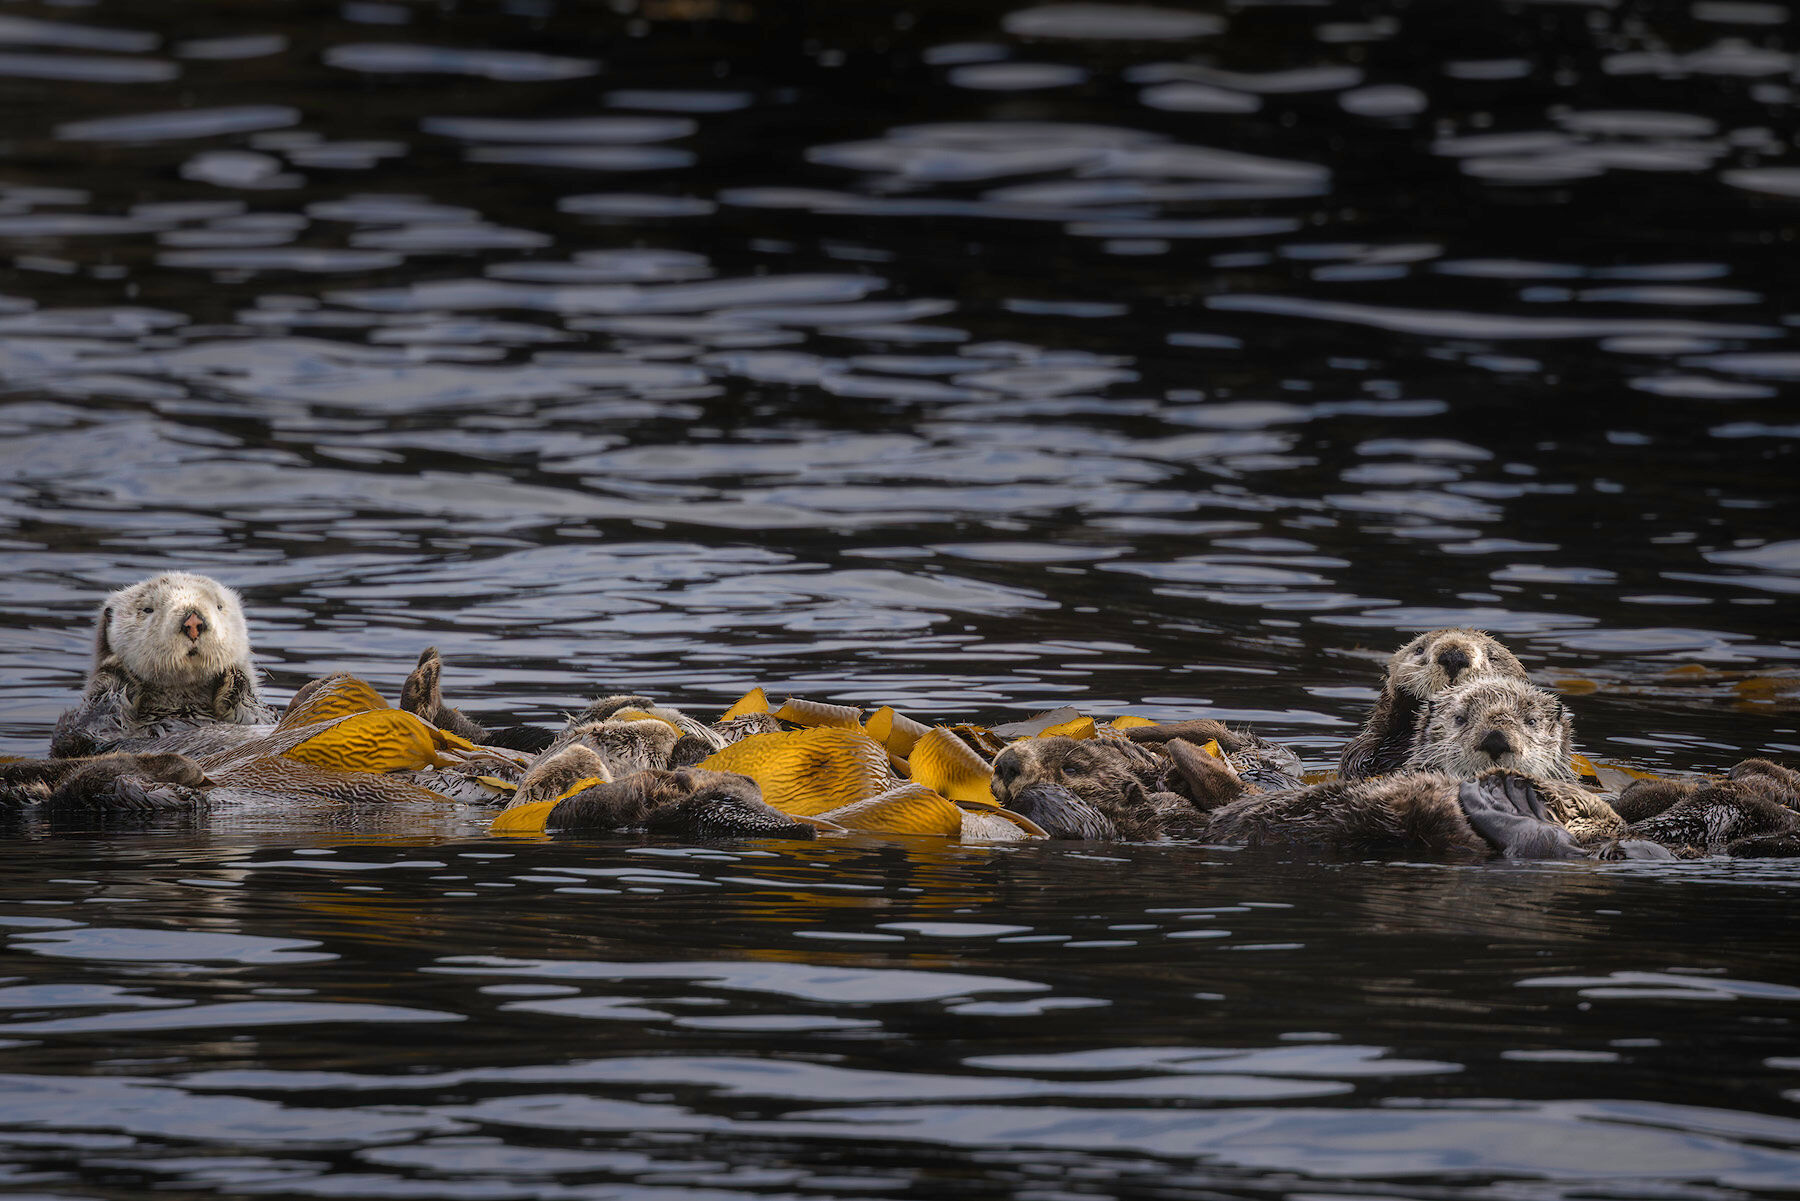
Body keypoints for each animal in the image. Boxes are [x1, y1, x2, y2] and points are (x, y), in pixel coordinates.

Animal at [50, 573, 277, 759]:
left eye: (219, 606)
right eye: (147, 609)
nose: (193, 622)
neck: (182, 706)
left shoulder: (264, 716)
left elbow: (260, 714)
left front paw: (234, 677)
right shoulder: (83, 738)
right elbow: (86, 727)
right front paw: (116, 669)